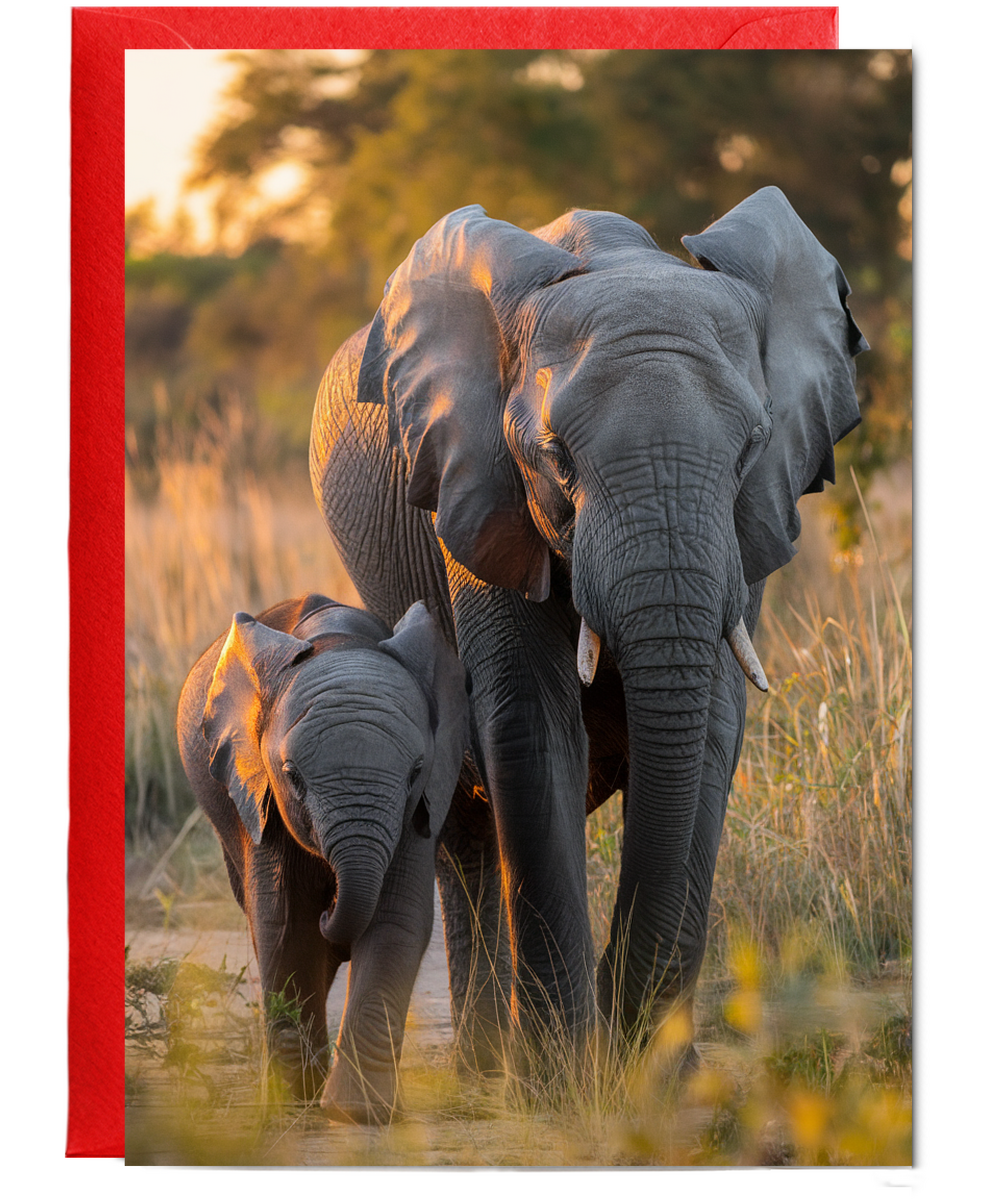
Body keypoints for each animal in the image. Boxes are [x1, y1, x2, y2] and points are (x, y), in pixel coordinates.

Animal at [176, 592, 469, 1121]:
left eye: (415, 770)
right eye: (292, 775)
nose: (331, 905)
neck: (341, 640)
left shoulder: (424, 803)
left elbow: (396, 920)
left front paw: (358, 1113)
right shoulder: (261, 797)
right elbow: (286, 923)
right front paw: (292, 1102)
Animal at [309, 187, 867, 1069]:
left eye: (751, 447)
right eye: (556, 455)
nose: (623, 1026)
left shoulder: (748, 528)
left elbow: (712, 725)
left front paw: (657, 1078)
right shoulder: (481, 494)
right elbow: (530, 726)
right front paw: (563, 1080)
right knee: (465, 826)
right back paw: (486, 1069)